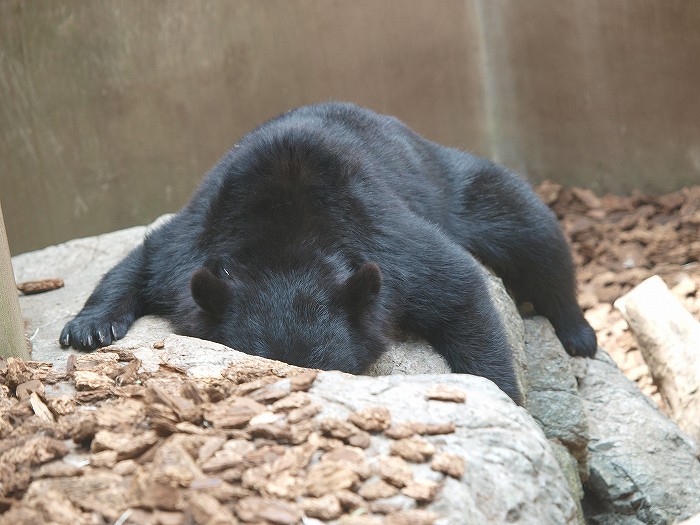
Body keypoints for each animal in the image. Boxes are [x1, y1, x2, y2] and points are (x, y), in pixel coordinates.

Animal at [60, 103, 596, 406]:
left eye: (336, 370)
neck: (285, 240)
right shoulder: (197, 237)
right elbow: (146, 256)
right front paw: (89, 327)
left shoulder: (387, 241)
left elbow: (457, 289)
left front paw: (502, 397)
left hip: (458, 186)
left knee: (532, 232)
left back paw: (578, 333)